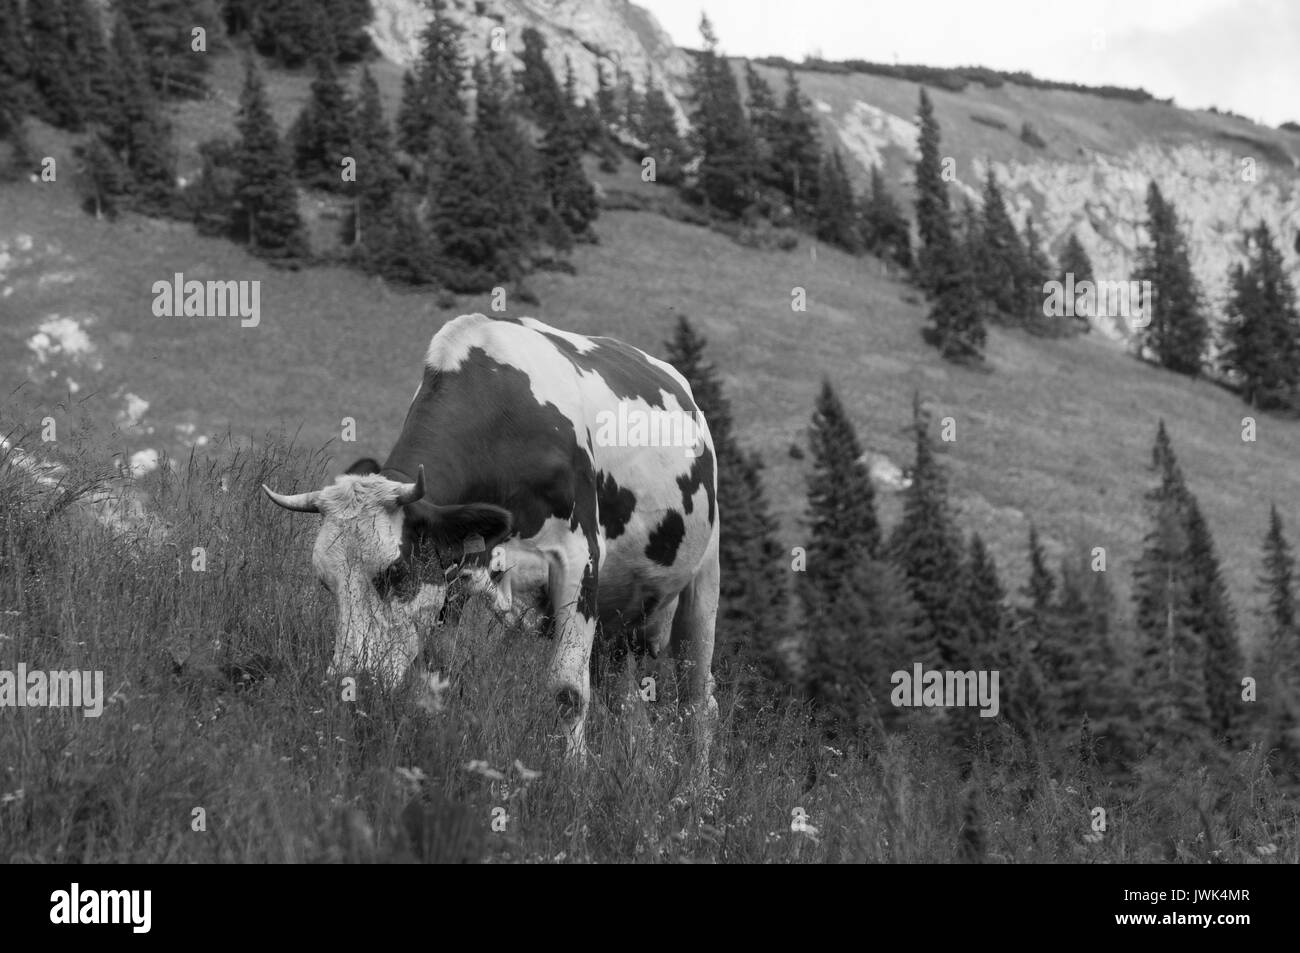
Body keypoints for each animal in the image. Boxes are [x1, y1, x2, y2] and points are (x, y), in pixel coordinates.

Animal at [263, 313, 721, 762]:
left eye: (396, 573)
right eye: (326, 584)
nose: (349, 684)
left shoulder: (579, 558)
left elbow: (568, 691)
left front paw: (572, 774)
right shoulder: (455, 569)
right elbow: (438, 674)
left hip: (703, 582)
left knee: (698, 702)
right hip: (619, 622)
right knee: (631, 709)